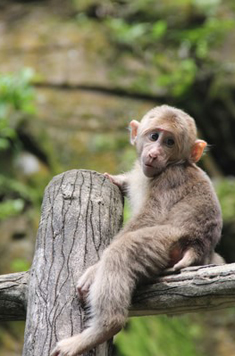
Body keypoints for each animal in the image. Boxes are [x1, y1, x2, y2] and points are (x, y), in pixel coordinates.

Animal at [51, 104, 224, 356]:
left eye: (169, 142)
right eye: (154, 136)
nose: (154, 154)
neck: (171, 165)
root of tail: (199, 246)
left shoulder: (169, 179)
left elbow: (149, 218)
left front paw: (94, 270)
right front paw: (116, 178)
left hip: (166, 242)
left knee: (123, 251)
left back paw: (103, 327)